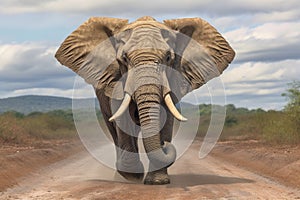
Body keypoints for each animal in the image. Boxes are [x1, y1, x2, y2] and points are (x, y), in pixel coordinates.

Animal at [55, 15, 236, 184]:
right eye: (124, 59)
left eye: (169, 58)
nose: (165, 146)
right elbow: (123, 118)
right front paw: (132, 176)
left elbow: (165, 117)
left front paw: (158, 181)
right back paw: (123, 175)